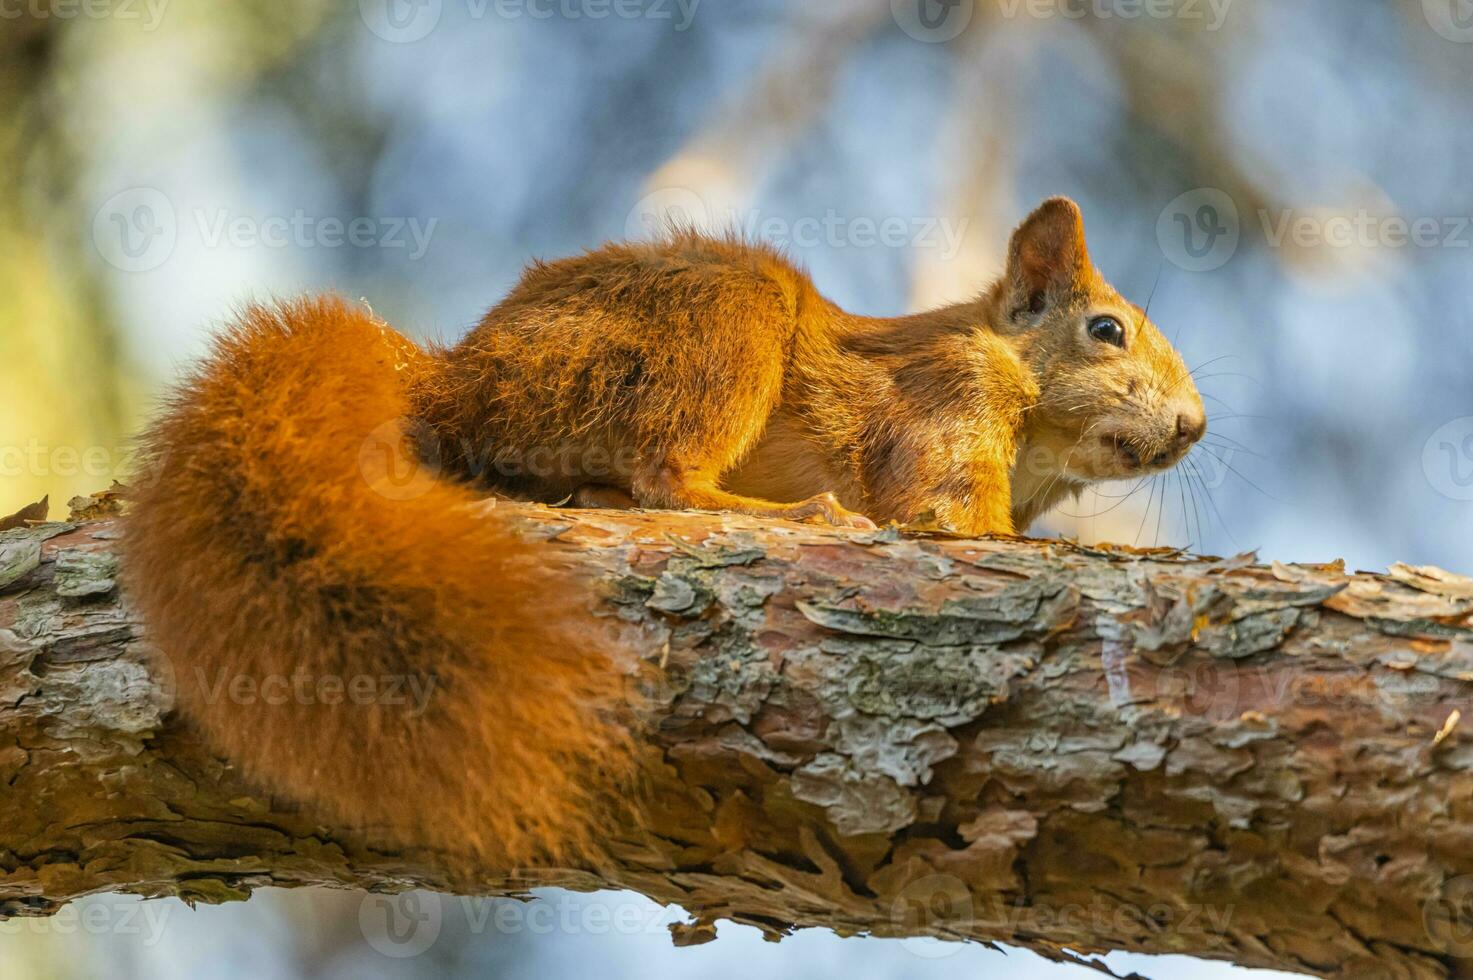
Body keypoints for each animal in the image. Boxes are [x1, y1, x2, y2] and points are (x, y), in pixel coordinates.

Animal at [123, 197, 1207, 866]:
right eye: (1106, 329)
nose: (1194, 426)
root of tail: (454, 377)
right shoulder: (942, 408)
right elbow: (955, 523)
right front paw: (1135, 552)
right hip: (718, 322)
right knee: (665, 477)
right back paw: (788, 512)